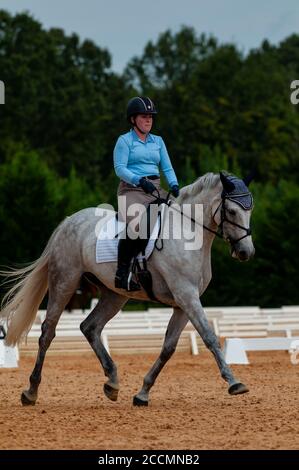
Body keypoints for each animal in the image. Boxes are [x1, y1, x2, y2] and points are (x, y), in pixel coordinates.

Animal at [0, 171, 255, 406]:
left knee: (90, 327)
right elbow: (209, 337)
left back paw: (112, 383)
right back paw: (31, 391)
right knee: (48, 332)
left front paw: (142, 393)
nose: (246, 252)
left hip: (114, 294)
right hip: (64, 281)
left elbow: (168, 347)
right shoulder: (187, 296)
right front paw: (234, 382)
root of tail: (69, 221)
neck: (187, 233)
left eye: (250, 210)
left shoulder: (183, 304)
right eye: (232, 211)